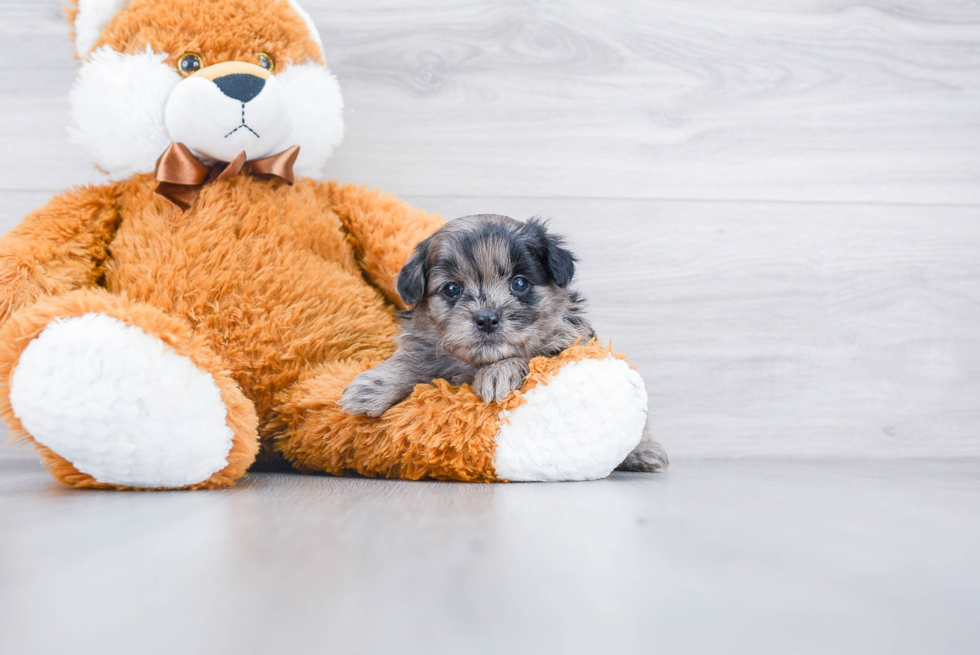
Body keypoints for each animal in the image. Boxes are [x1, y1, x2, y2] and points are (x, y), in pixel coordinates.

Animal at [340, 213, 668, 474]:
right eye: (452, 289)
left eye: (519, 283)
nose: (487, 319)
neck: (476, 364)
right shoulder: (426, 350)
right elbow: (410, 362)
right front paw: (370, 387)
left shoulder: (565, 345)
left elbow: (529, 354)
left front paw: (498, 373)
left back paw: (642, 453)